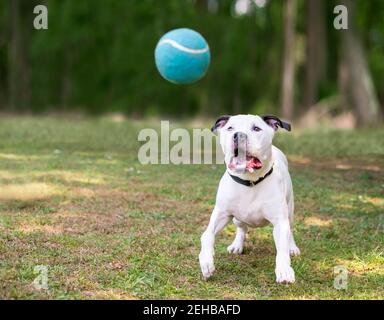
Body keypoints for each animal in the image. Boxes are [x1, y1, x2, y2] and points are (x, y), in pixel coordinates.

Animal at [200, 114, 302, 284]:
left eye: (256, 128)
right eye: (230, 128)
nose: (239, 135)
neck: (250, 181)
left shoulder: (280, 222)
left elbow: (282, 249)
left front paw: (284, 270)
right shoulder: (221, 214)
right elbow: (207, 235)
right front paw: (206, 261)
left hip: (290, 210)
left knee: (291, 230)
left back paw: (292, 247)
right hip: (237, 218)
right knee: (242, 228)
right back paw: (237, 245)